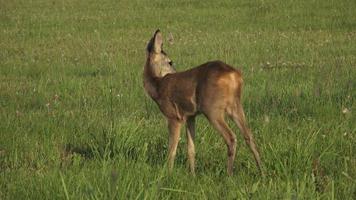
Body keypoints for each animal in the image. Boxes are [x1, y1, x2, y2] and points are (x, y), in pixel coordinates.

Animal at [143, 28, 262, 176]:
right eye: (170, 62)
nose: (175, 70)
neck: (156, 86)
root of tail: (235, 75)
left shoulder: (174, 116)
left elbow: (172, 149)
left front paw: (168, 173)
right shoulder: (190, 116)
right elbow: (191, 148)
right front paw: (193, 175)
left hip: (212, 109)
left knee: (231, 137)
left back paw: (229, 175)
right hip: (236, 105)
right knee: (249, 135)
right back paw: (262, 172)